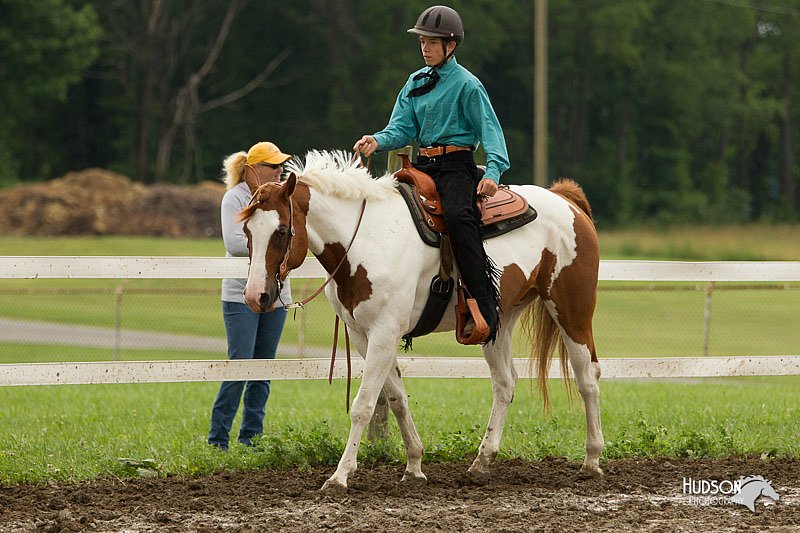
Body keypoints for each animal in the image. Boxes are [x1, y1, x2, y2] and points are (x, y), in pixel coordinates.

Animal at [241, 150, 604, 490]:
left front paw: (339, 476)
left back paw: (592, 459)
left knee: (587, 376)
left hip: (571, 311)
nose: (255, 296)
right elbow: (396, 399)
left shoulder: (384, 333)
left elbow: (363, 404)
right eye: (247, 231)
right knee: (505, 383)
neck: (367, 240)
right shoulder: (363, 335)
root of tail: (565, 201)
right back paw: (481, 462)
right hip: (498, 320)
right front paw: (414, 466)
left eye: (281, 231)